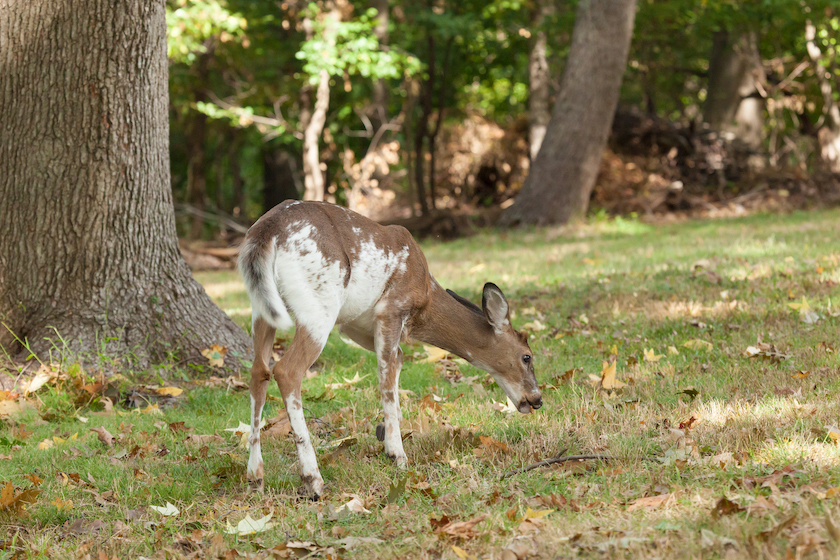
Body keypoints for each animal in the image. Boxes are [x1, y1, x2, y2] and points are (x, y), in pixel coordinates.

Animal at [238, 200, 542, 498]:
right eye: (526, 356)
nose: (536, 399)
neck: (425, 298)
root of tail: (266, 231)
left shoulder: (357, 327)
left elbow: (397, 366)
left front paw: (387, 437)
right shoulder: (392, 308)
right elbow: (386, 379)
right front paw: (398, 455)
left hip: (262, 307)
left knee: (258, 371)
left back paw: (255, 476)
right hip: (319, 300)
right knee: (287, 370)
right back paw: (313, 479)